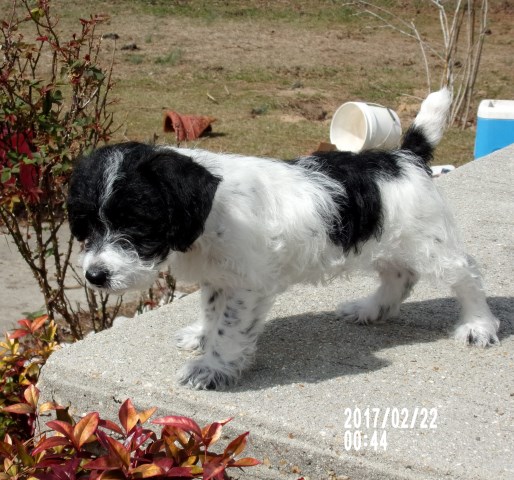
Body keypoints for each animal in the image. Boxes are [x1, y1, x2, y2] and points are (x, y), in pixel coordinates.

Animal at [67, 90, 496, 390]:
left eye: (136, 224)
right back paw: (369, 309)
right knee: (400, 277)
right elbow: (212, 311)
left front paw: (212, 368)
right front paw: (202, 335)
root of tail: (404, 157)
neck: (211, 212)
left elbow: (229, 328)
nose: (95, 276)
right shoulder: (219, 277)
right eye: (85, 228)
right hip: (382, 239)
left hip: (431, 244)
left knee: (466, 275)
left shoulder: (246, 287)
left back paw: (478, 325)